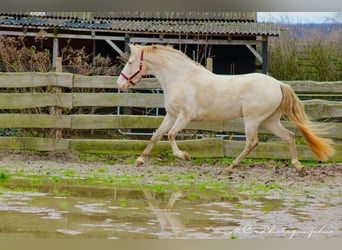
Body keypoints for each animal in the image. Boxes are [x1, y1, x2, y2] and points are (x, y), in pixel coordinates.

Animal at [117, 44, 334, 174]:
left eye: (130, 62)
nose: (120, 84)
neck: (181, 78)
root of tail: (278, 84)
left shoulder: (185, 117)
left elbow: (170, 135)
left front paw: (184, 155)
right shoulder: (171, 115)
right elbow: (156, 135)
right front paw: (139, 160)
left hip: (252, 120)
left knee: (252, 142)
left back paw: (230, 167)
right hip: (269, 121)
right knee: (288, 136)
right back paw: (297, 165)